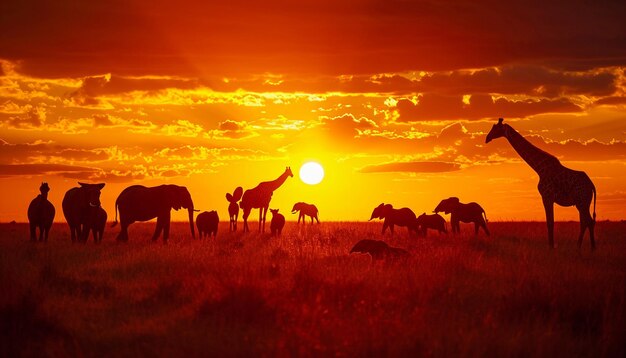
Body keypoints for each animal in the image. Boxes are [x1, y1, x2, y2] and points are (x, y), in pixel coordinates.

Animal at [486, 118, 592, 249]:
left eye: (495, 128)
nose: (487, 138)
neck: (539, 168)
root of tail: (592, 185)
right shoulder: (548, 198)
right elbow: (550, 222)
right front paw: (551, 246)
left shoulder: (547, 196)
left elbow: (550, 222)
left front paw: (551, 247)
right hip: (582, 202)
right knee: (586, 222)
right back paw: (580, 247)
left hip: (582, 201)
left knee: (588, 221)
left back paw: (591, 248)